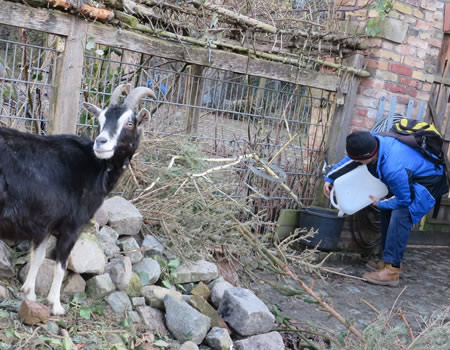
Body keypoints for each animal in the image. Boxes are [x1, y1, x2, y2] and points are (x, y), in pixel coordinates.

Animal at [0, 84, 156, 314]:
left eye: (129, 122)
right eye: (100, 120)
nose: (101, 142)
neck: (96, 168)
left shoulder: (44, 225)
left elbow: (37, 257)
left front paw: (29, 292)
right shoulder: (72, 226)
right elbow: (60, 265)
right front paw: (55, 304)